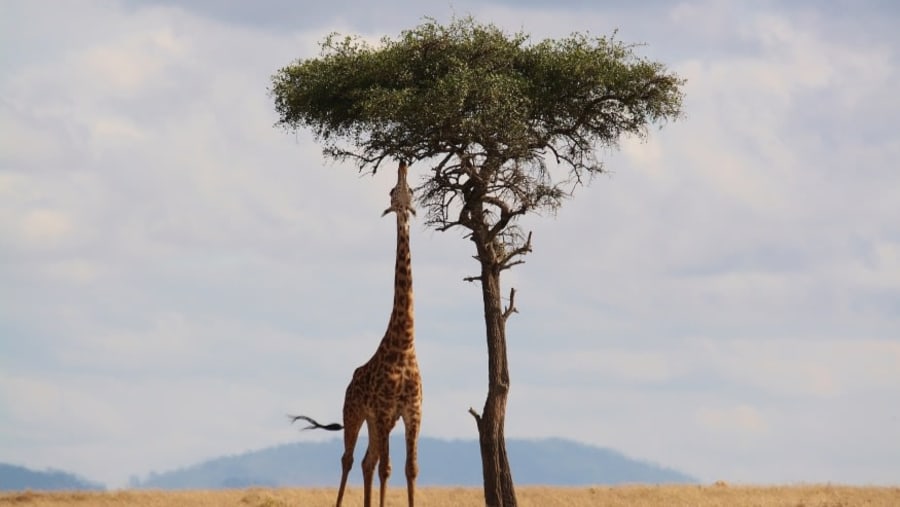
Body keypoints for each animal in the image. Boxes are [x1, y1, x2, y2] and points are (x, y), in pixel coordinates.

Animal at [290, 160, 422, 507]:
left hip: (375, 422)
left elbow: (410, 469)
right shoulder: (385, 411)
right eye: (392, 191)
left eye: (410, 190)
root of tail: (350, 382)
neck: (405, 345)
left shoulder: (412, 412)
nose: (403, 163)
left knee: (367, 461)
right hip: (354, 413)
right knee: (350, 459)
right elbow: (388, 469)